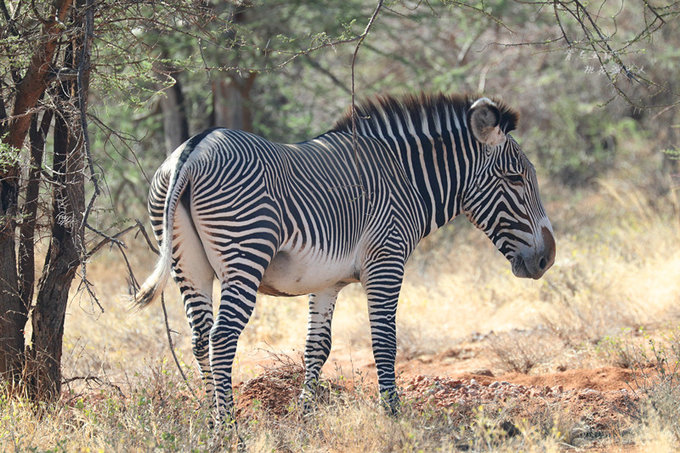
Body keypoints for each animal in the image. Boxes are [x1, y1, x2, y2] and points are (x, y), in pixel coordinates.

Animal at [131, 91, 552, 420]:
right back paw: (229, 428)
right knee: (221, 338)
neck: (406, 178)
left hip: (189, 266)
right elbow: (385, 339)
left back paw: (208, 420)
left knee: (200, 337)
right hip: (244, 255)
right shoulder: (386, 261)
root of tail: (195, 147)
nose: (547, 258)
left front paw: (305, 416)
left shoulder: (327, 282)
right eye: (515, 179)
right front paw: (392, 415)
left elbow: (317, 347)